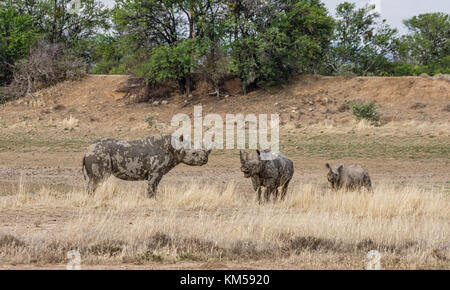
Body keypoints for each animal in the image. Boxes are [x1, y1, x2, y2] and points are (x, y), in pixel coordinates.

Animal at [82, 134, 211, 197]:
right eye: (194, 153)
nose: (205, 160)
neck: (174, 148)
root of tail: (86, 151)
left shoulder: (159, 172)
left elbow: (155, 187)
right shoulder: (155, 171)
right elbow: (152, 186)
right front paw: (151, 199)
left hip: (96, 154)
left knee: (94, 181)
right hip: (98, 154)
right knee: (99, 179)